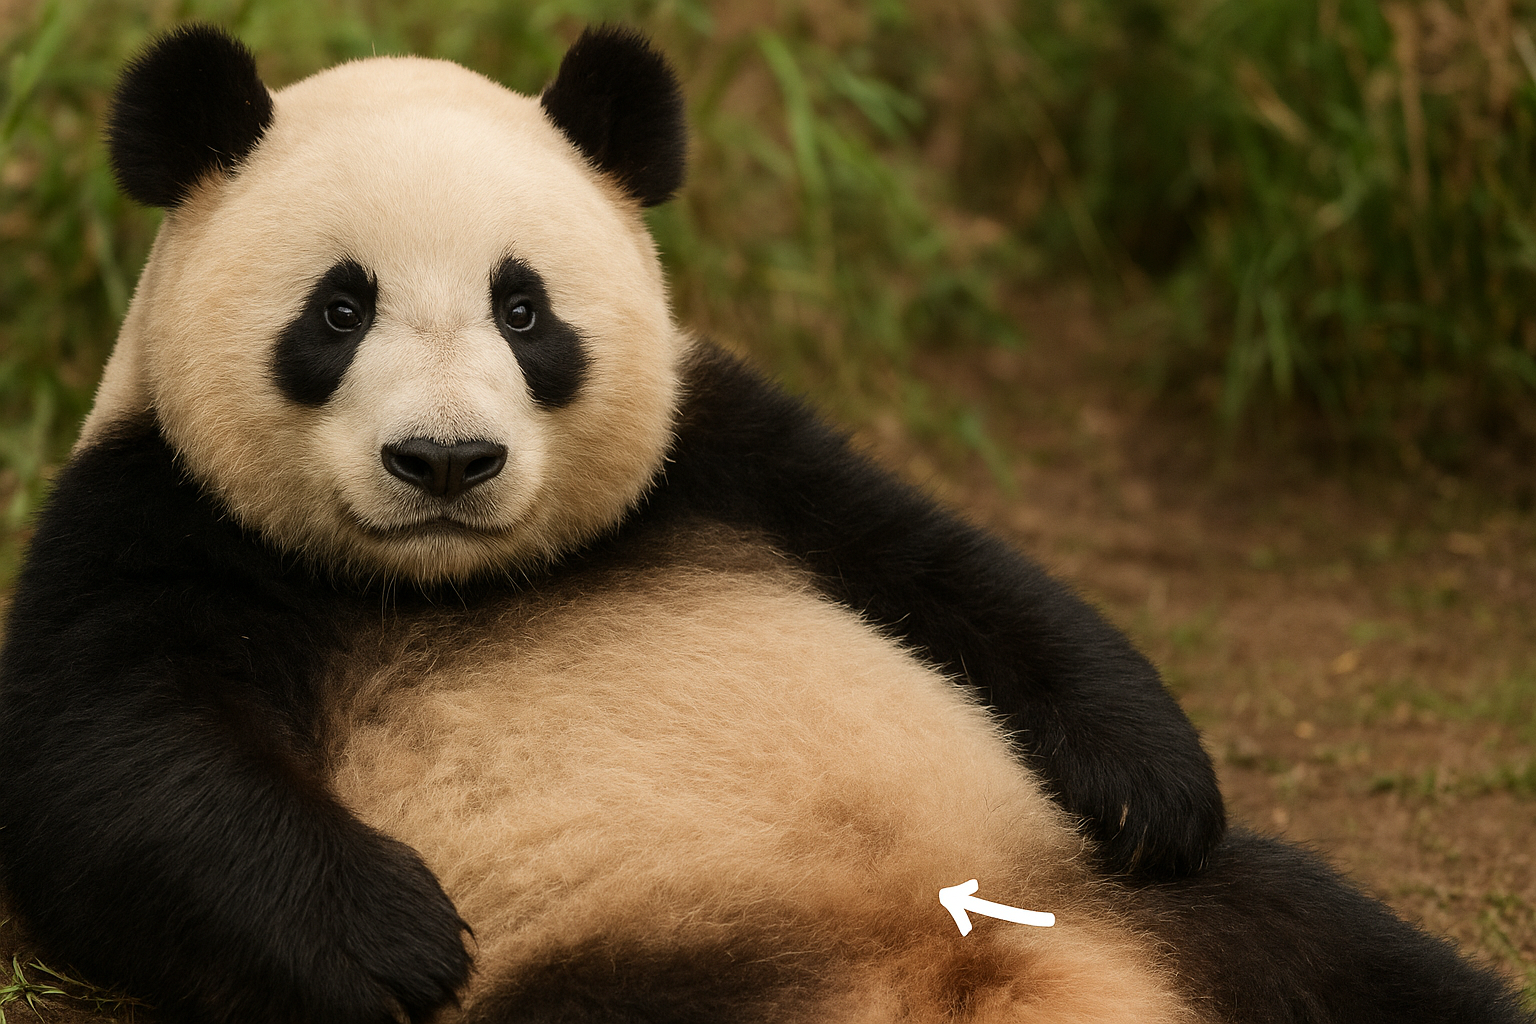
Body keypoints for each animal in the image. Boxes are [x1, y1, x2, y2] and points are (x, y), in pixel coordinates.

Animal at [0, 23, 1528, 1024]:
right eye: (338, 308)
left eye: (522, 307)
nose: (446, 461)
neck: (440, 581)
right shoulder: (148, 515)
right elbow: (112, 775)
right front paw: (394, 940)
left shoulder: (723, 452)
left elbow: (950, 568)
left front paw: (1156, 779)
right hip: (629, 975)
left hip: (1149, 905)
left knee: (1357, 958)